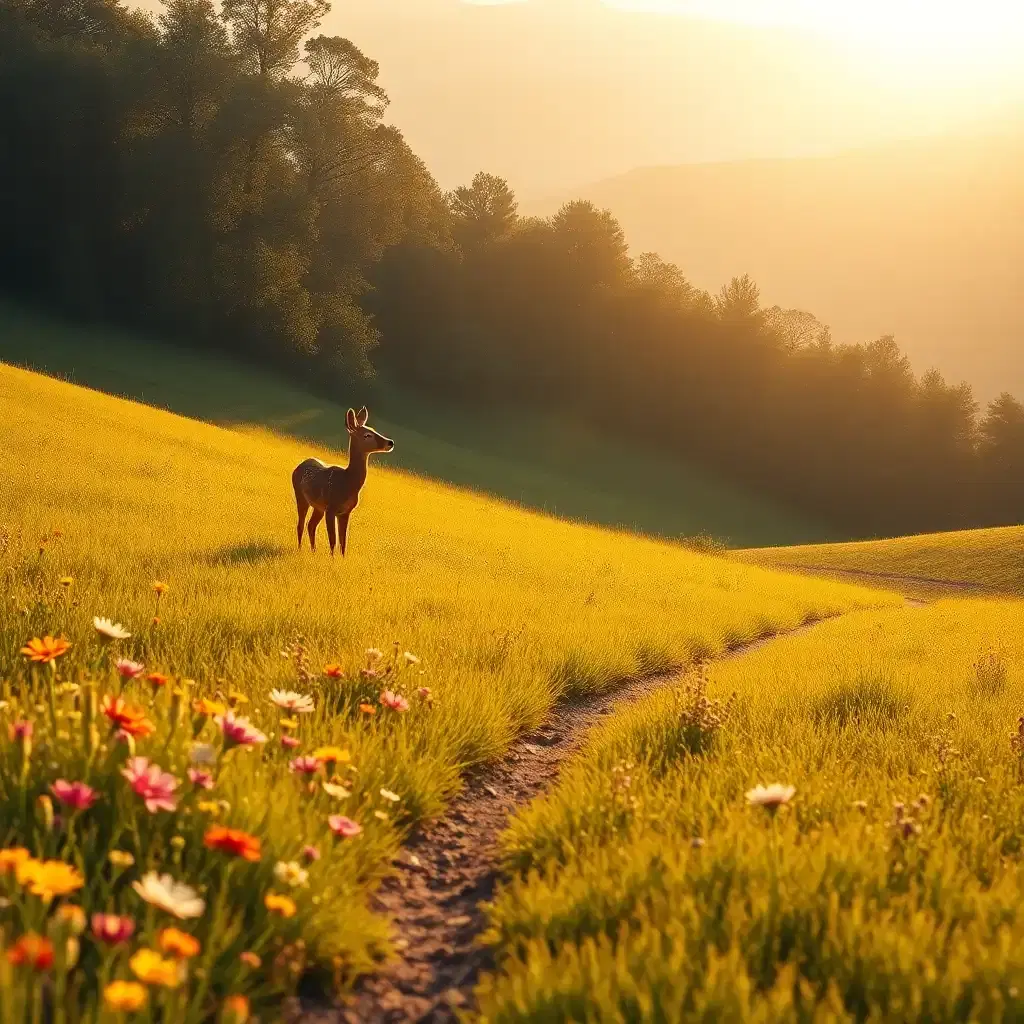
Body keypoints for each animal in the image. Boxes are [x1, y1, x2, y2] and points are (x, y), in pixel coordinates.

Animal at [292, 407, 394, 557]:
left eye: (373, 429)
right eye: (367, 435)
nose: (390, 442)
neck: (347, 483)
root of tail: (299, 465)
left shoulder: (346, 512)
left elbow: (343, 542)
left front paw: (342, 559)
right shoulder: (331, 508)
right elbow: (333, 540)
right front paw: (332, 559)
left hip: (318, 507)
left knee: (310, 525)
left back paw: (313, 551)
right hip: (300, 496)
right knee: (301, 524)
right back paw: (299, 549)